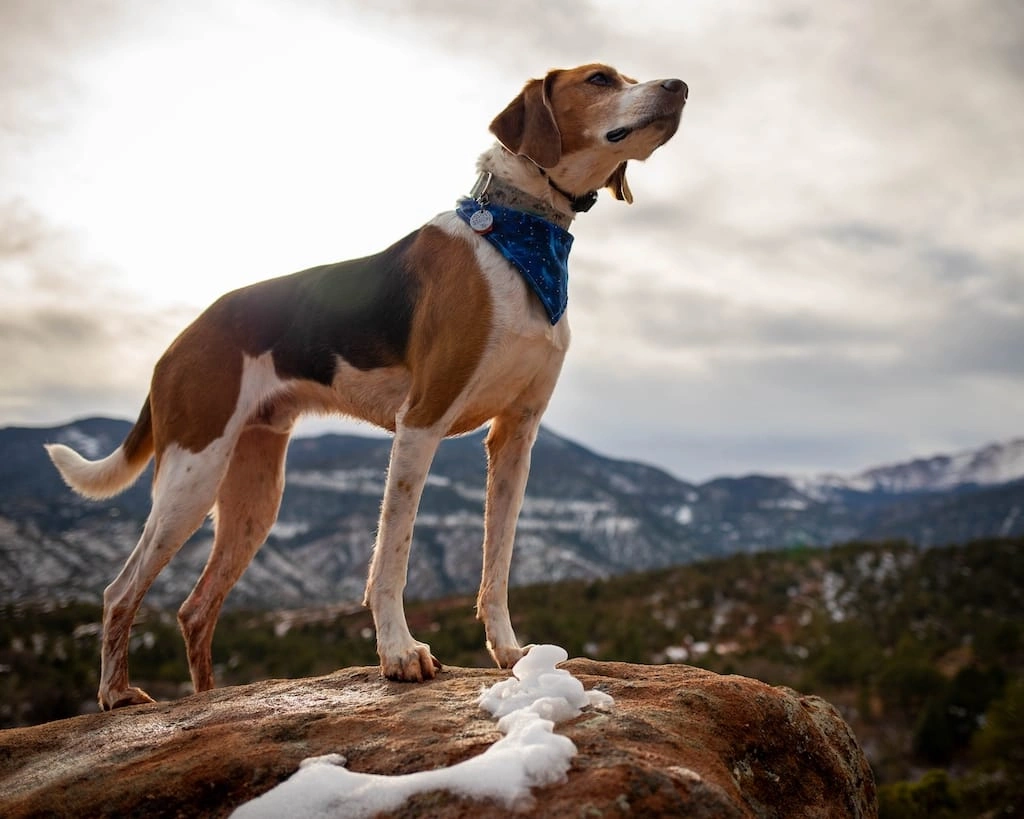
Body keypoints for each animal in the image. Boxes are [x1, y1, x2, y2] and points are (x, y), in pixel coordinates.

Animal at [48, 63, 688, 708]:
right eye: (600, 79)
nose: (680, 87)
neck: (521, 233)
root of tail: (177, 342)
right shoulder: (421, 422)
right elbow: (392, 556)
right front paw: (399, 654)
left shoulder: (516, 437)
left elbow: (498, 562)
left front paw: (511, 655)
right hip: (191, 475)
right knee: (119, 591)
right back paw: (116, 695)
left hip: (255, 494)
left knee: (195, 610)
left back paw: (205, 700)